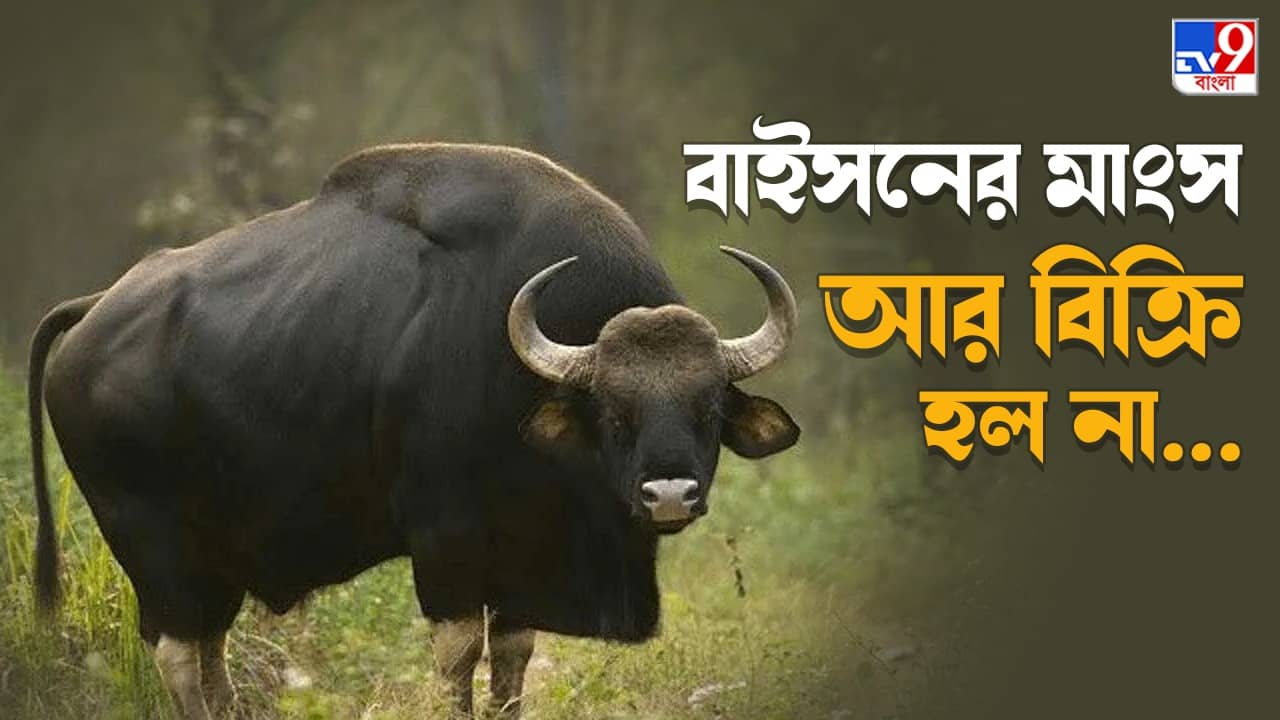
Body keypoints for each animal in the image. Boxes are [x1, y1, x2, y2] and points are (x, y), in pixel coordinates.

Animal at [29, 143, 799, 718]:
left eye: (708, 409)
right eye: (614, 412)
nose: (668, 495)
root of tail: (95, 309)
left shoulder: (523, 563)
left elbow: (512, 664)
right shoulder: (445, 544)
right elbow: (458, 660)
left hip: (210, 562)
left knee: (211, 652)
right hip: (156, 550)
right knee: (181, 655)